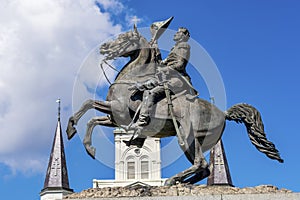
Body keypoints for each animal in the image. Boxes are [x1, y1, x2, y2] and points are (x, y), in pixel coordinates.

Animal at [66, 27, 284, 186]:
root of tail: (223, 113)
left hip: (188, 137)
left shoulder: (118, 109)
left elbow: (88, 105)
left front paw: (76, 133)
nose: (103, 47)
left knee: (201, 163)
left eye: (125, 38)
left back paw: (172, 180)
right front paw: (82, 140)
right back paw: (180, 182)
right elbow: (90, 116)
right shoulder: (115, 117)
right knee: (204, 168)